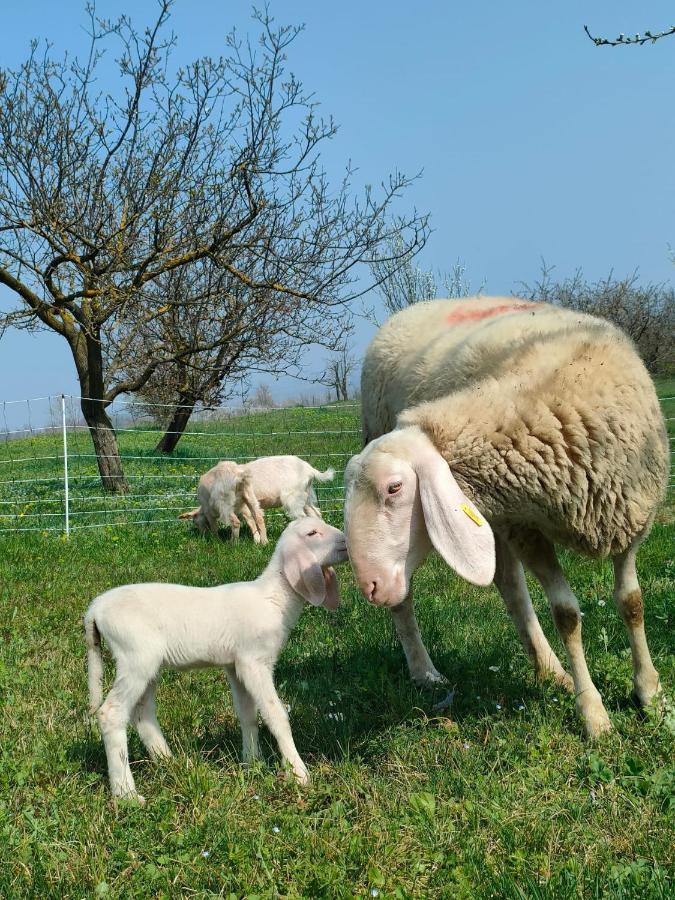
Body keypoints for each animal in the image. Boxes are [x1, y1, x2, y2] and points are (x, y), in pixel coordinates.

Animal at [84, 516, 348, 804]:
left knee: (142, 713)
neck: (273, 599)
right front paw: (298, 774)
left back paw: (168, 761)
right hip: (135, 657)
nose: (347, 542)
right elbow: (275, 714)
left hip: (146, 664)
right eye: (312, 533)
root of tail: (95, 610)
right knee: (111, 713)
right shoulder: (254, 661)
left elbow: (247, 714)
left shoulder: (236, 664)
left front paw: (253, 763)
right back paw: (127, 794)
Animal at [181, 454, 336, 544]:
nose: (203, 536)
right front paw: (257, 540)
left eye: (196, 522)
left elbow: (217, 525)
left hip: (292, 497)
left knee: (302, 518)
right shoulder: (243, 505)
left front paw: (215, 540)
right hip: (305, 496)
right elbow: (252, 520)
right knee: (315, 514)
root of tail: (310, 469)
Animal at [346, 296, 668, 740]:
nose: (369, 586)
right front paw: (593, 713)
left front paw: (650, 693)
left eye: (394, 488)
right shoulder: (527, 527)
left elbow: (631, 602)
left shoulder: (629, 517)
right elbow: (567, 615)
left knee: (509, 585)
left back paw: (549, 670)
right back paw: (425, 671)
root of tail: (410, 311)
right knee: (413, 598)